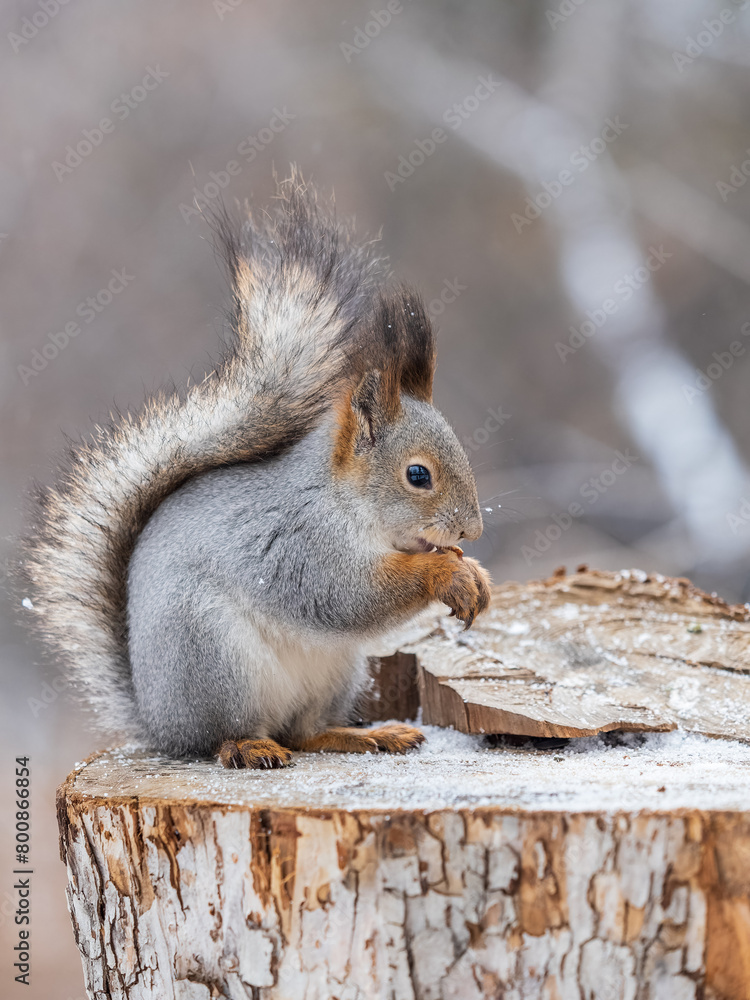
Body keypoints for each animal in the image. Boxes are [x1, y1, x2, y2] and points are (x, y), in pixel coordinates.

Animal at [21, 173, 491, 769]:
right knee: (224, 737)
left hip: (336, 671)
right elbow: (345, 596)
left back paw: (367, 735)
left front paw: (473, 572)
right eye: (418, 476)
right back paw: (249, 745)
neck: (344, 502)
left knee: (305, 732)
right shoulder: (301, 543)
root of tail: (158, 722)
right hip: (215, 655)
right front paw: (447, 574)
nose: (472, 529)